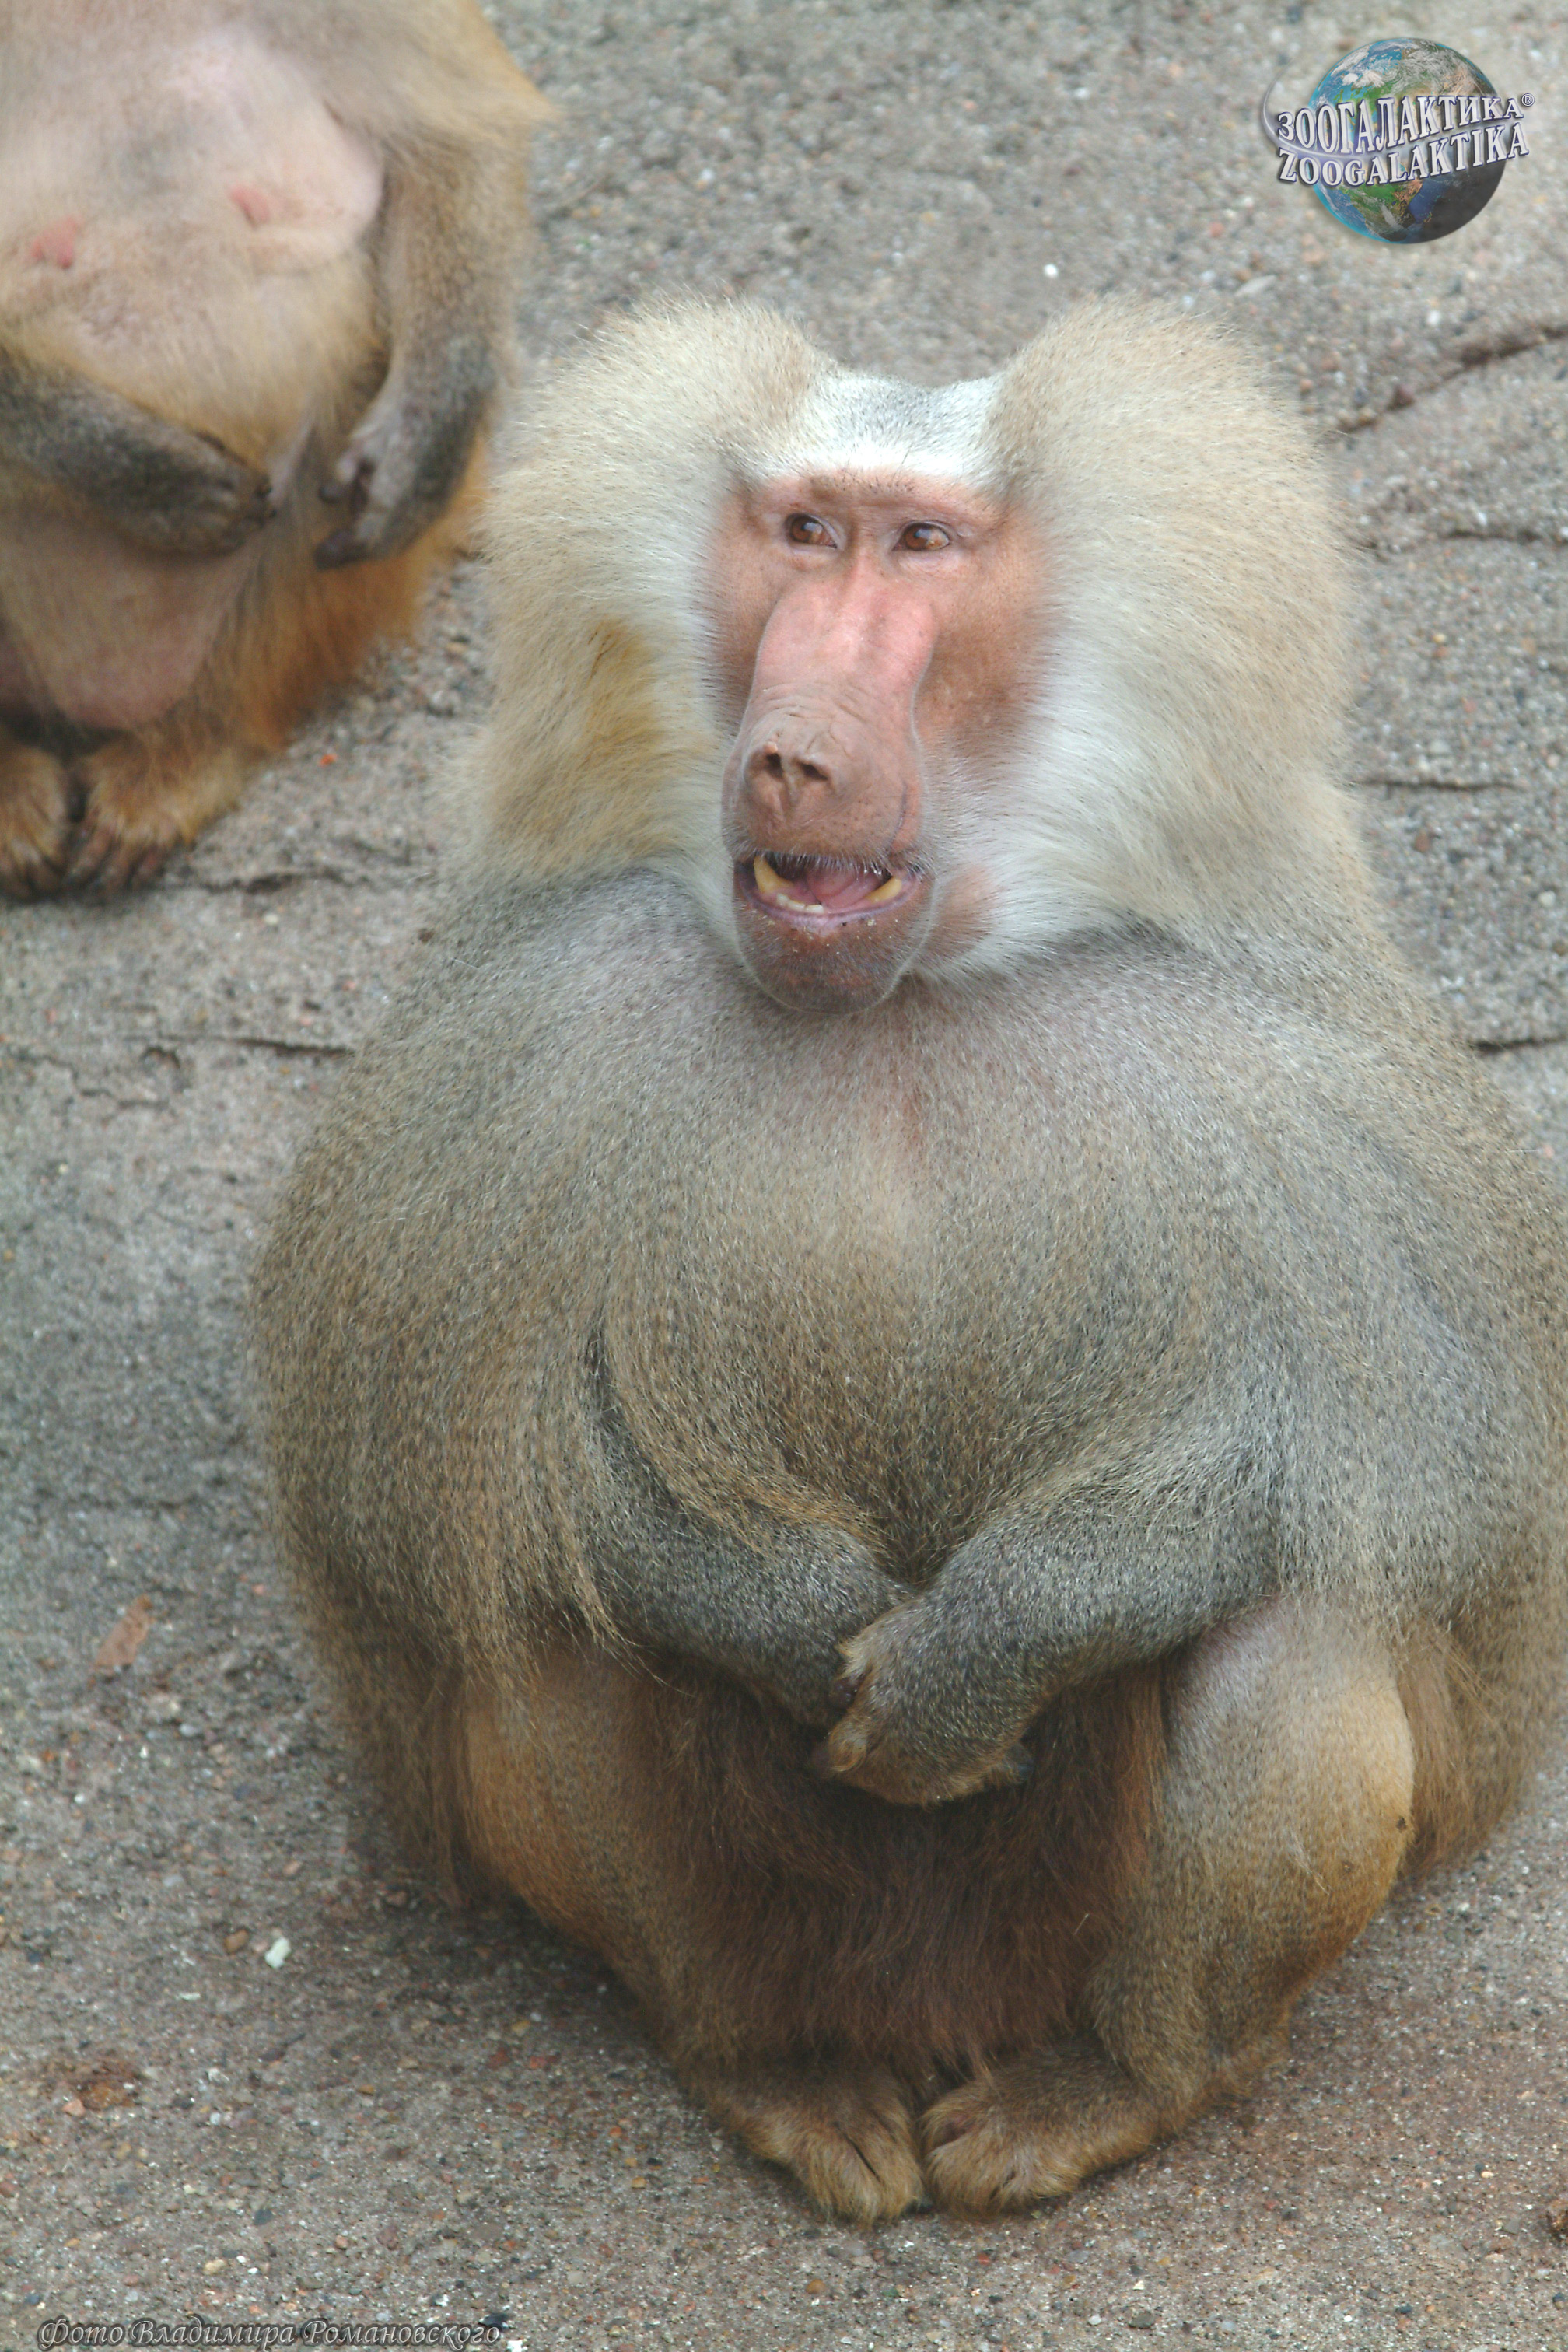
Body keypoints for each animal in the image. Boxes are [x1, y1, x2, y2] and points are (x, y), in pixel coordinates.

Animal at [252, 299, 1568, 2224]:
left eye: (926, 547)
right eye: (807, 534)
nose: (795, 751)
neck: (901, 1013)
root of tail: (937, 2007)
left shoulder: (1308, 1083)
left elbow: (1398, 1466)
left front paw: (965, 1663)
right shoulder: (516, 1051)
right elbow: (446, 1478)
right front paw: (806, 1634)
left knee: (1303, 1638)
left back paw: (1101, 2093)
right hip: (789, 1925)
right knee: (549, 1614)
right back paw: (780, 2073)